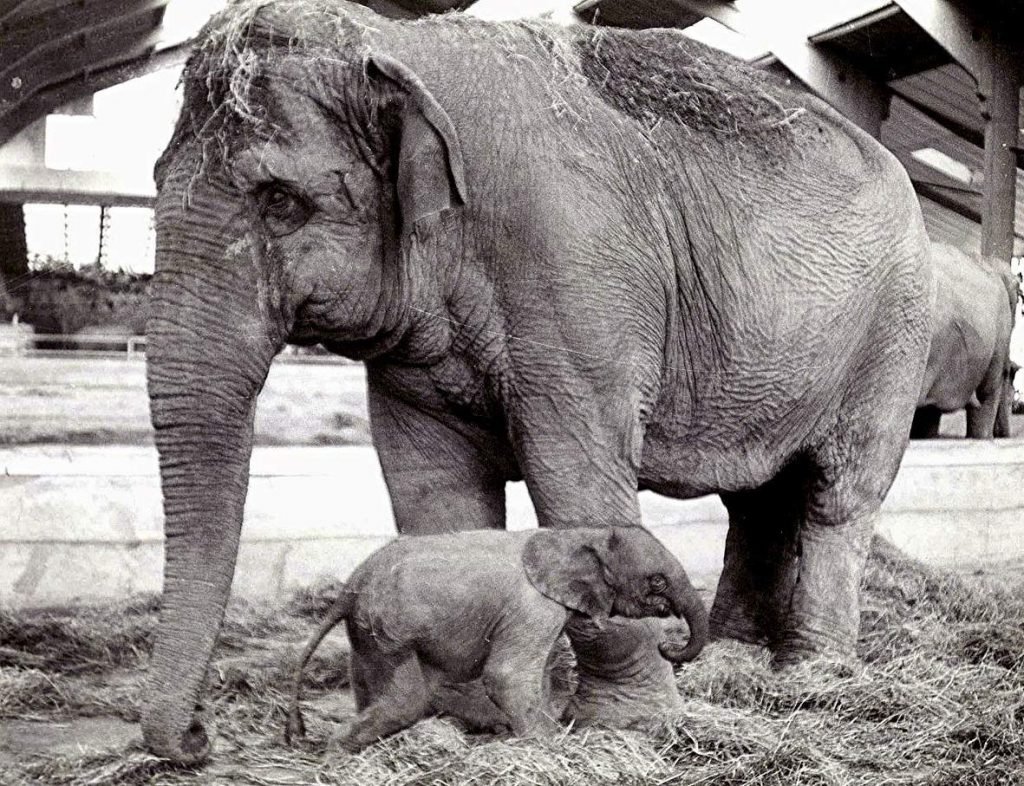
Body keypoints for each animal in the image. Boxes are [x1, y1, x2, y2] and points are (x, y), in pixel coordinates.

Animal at [284, 521, 708, 749]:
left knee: (368, 683)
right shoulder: (533, 607)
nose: (667, 644)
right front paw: (552, 742)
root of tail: (349, 587)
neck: (578, 534)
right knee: (408, 700)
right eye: (656, 581)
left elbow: (535, 675)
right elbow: (507, 675)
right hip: (390, 627)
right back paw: (335, 756)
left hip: (367, 629)